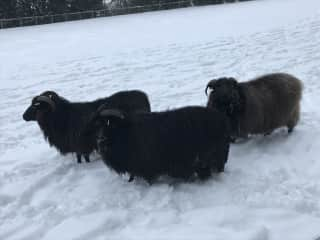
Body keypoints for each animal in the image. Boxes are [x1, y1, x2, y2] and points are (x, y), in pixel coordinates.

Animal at [22, 90, 151, 163]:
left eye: (36, 105)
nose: (23, 116)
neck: (62, 117)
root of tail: (143, 95)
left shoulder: (81, 145)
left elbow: (84, 157)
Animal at [85, 106, 230, 183]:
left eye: (111, 124)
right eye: (98, 125)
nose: (100, 140)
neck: (128, 133)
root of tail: (221, 120)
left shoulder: (147, 167)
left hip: (212, 157)